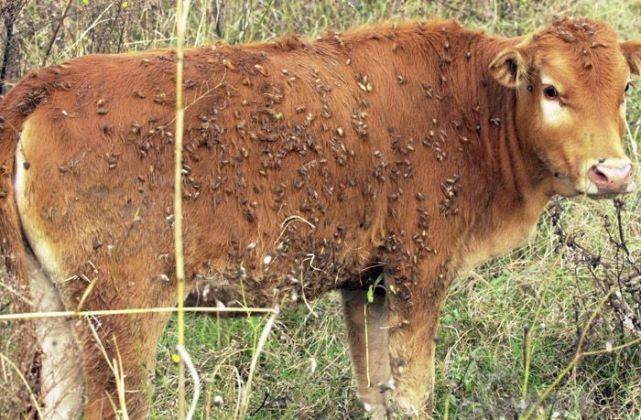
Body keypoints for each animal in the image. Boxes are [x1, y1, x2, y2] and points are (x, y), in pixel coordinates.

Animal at [0, 15, 636, 416]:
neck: (473, 104)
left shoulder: (367, 283)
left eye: (626, 87)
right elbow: (413, 392)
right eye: (550, 88)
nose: (613, 172)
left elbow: (377, 390)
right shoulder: (419, 274)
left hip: (50, 307)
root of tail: (45, 87)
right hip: (122, 315)